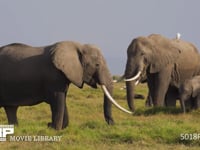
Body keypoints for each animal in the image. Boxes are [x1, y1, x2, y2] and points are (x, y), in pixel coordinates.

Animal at [0, 41, 133, 130]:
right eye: (97, 65)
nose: (112, 123)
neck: (78, 46)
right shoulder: (54, 75)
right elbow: (58, 99)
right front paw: (55, 129)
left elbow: (62, 99)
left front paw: (55, 127)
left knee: (11, 108)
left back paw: (15, 128)